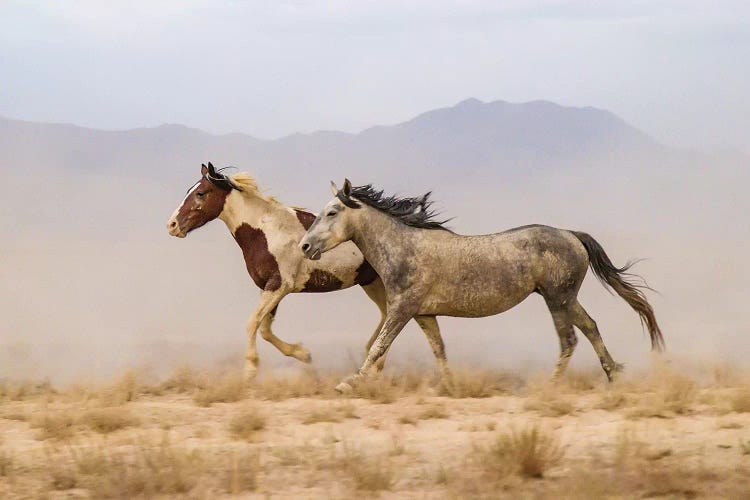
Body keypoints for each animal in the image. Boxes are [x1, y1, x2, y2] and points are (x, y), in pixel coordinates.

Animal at [167, 163, 450, 378]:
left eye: (201, 193)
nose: (172, 225)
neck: (265, 231)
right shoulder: (268, 289)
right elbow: (265, 329)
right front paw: (303, 354)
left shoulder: (279, 286)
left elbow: (252, 324)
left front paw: (250, 370)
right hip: (372, 283)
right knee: (386, 314)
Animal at [300, 178, 664, 392]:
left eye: (332, 212)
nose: (305, 246)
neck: (404, 248)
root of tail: (571, 235)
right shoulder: (423, 314)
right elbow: (438, 348)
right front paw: (449, 387)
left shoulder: (401, 309)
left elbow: (379, 346)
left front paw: (349, 383)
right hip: (565, 298)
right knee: (590, 327)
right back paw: (613, 374)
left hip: (556, 299)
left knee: (570, 339)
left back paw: (548, 386)